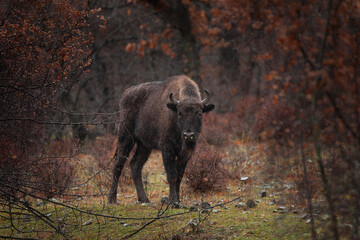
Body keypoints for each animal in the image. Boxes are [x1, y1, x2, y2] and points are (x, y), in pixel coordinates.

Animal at [107, 75, 214, 204]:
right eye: (179, 113)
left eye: (199, 113)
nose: (188, 135)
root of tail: (124, 96)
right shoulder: (167, 149)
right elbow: (172, 175)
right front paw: (172, 202)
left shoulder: (185, 154)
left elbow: (179, 176)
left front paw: (178, 201)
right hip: (126, 139)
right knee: (118, 165)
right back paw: (111, 199)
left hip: (144, 146)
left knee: (135, 165)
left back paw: (144, 199)